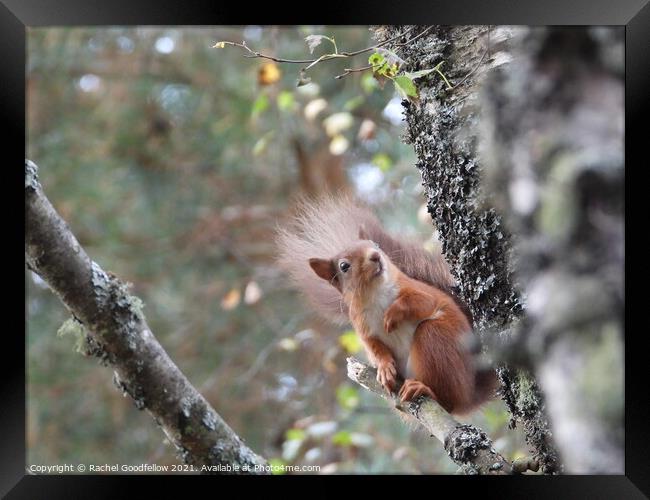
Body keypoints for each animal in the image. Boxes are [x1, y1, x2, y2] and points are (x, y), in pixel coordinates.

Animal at [274, 197, 496, 416]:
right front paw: (384, 368)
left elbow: (423, 302)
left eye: (375, 244)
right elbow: (373, 346)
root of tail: (469, 396)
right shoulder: (362, 324)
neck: (375, 295)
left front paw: (392, 314)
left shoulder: (417, 290)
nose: (375, 256)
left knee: (448, 400)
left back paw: (423, 388)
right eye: (344, 266)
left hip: (436, 339)